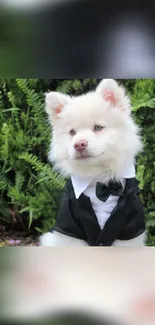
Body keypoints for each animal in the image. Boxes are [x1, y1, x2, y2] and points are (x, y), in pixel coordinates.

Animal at [40, 78, 147, 246]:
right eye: (72, 132)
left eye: (98, 127)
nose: (79, 144)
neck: (99, 180)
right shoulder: (71, 226)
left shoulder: (129, 228)